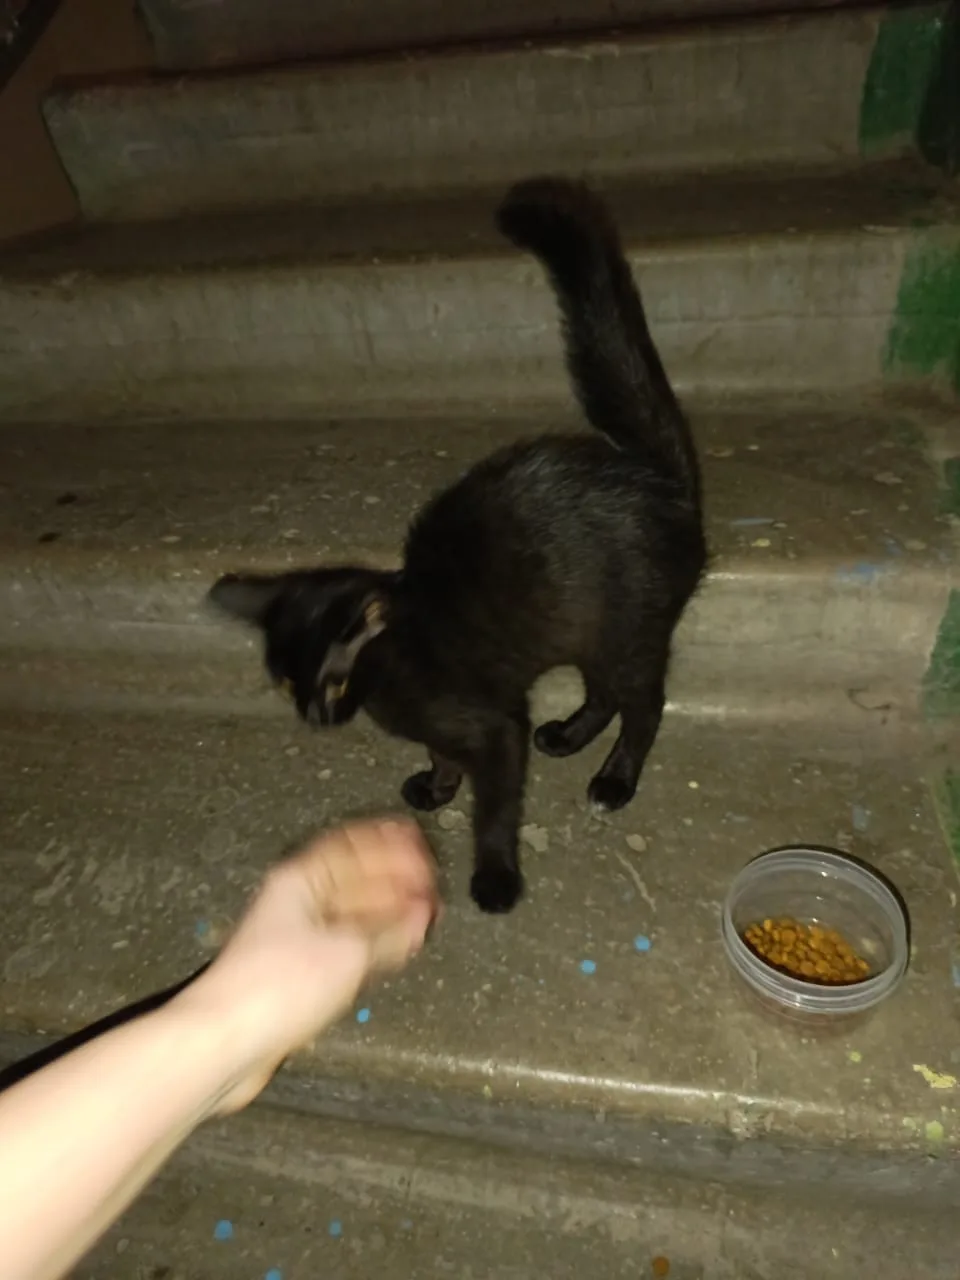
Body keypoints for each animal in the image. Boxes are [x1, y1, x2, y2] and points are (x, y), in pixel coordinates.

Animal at [208, 177, 706, 914]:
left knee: (643, 705)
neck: (396, 666)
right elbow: (443, 756)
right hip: (589, 633)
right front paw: (437, 786)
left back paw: (614, 781)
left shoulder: (494, 730)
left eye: (332, 681)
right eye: (289, 681)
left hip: (630, 633)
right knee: (604, 694)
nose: (316, 719)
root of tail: (658, 478)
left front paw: (495, 878)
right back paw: (566, 736)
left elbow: (493, 810)